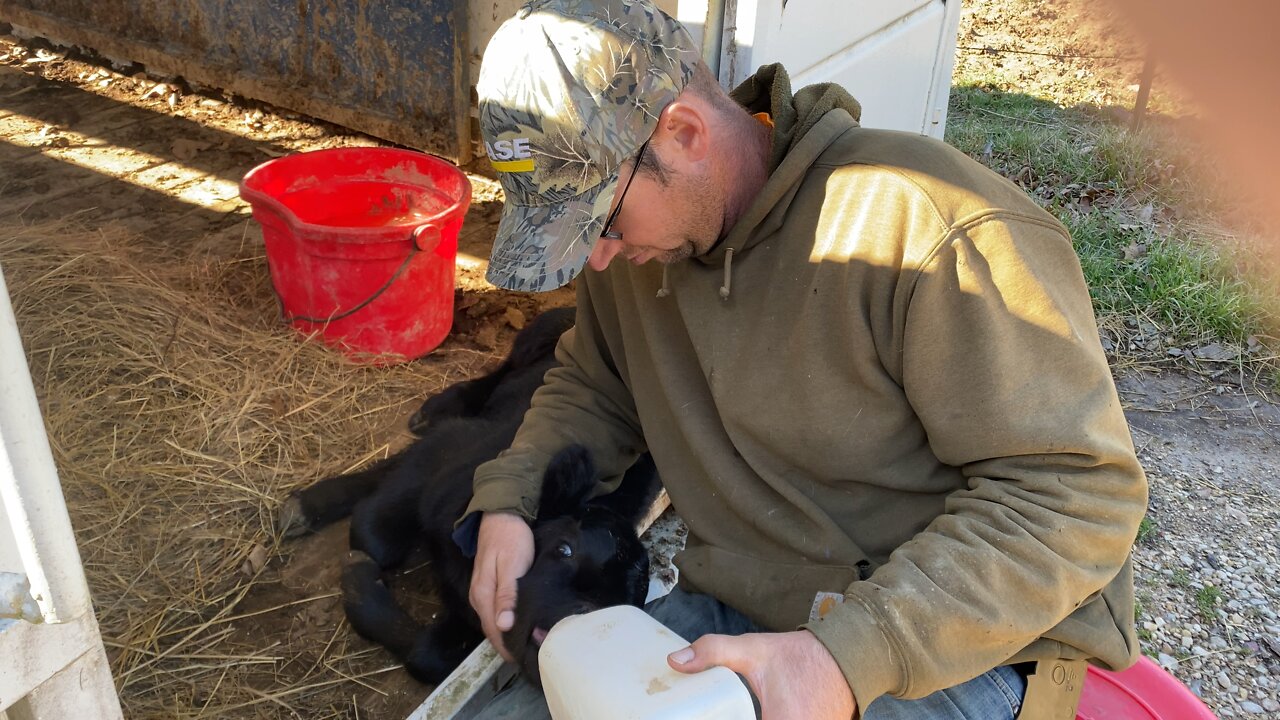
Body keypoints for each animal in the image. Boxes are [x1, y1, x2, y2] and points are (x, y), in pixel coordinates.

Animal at [280, 304, 660, 681]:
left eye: (624, 600)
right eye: (564, 548)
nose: (582, 613)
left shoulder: (472, 619)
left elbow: (427, 655)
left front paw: (360, 581)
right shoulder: (445, 450)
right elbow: (373, 532)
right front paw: (355, 560)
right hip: (541, 330)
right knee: (499, 371)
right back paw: (433, 409)